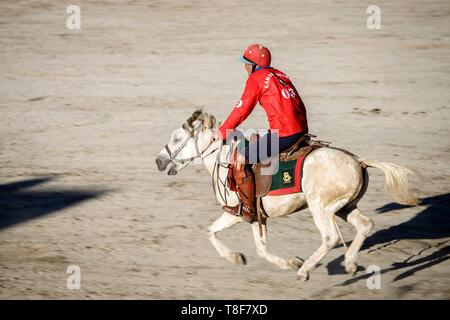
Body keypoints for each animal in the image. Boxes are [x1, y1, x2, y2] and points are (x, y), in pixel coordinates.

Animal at [153, 110, 420, 280]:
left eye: (177, 138)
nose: (159, 160)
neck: (225, 159)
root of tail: (358, 161)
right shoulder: (253, 216)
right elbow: (230, 238)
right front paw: (245, 258)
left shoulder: (240, 213)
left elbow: (226, 237)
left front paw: (292, 264)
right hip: (345, 207)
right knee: (365, 226)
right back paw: (350, 263)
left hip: (320, 207)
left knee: (330, 237)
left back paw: (306, 271)